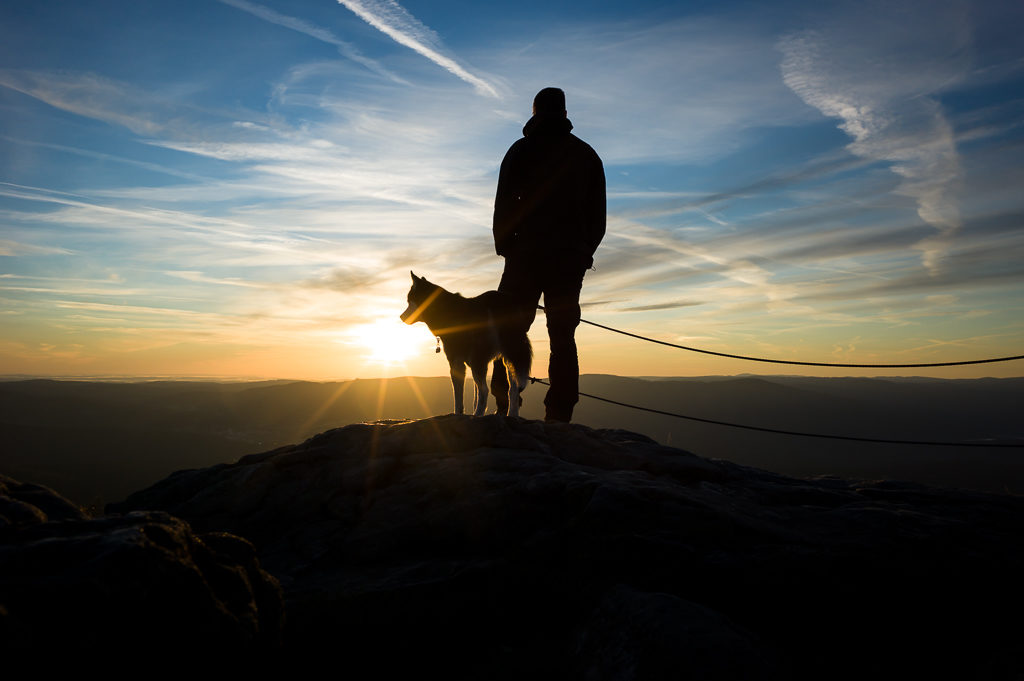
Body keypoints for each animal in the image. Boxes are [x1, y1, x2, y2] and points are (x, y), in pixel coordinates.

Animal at [399, 270, 532, 413]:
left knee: (485, 390)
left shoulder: (456, 361)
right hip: (510, 358)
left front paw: (459, 413)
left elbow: (458, 397)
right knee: (513, 390)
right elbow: (474, 394)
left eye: (409, 300)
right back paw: (511, 414)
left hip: (479, 358)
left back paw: (478, 414)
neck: (444, 310)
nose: (401, 317)